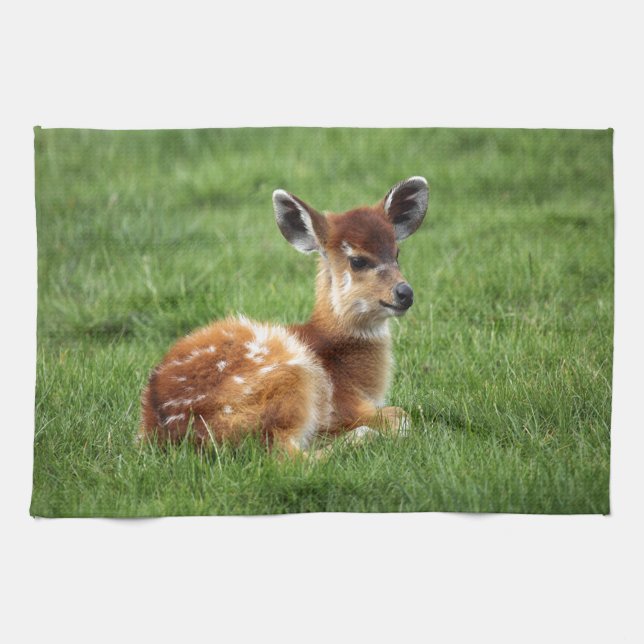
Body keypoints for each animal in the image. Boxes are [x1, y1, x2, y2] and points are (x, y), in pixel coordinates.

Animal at [139, 176, 429, 457]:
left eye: (397, 254)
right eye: (357, 260)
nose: (405, 292)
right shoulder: (343, 405)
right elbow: (401, 416)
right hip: (292, 378)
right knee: (287, 455)